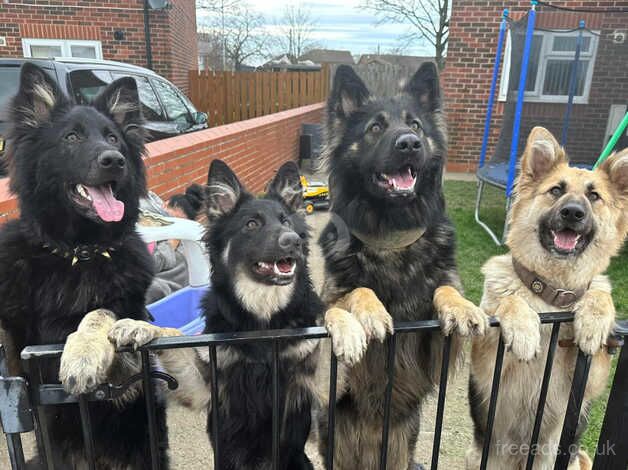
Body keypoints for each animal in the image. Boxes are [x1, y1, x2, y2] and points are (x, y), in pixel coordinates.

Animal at [0, 63, 168, 470]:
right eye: (72, 137)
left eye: (113, 138)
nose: (114, 159)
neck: (79, 252)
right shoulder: (17, 370)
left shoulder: (127, 381)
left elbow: (99, 313)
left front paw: (83, 353)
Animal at [109, 161, 372, 470]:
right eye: (252, 224)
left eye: (286, 222)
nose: (293, 241)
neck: (263, 321)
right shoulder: (203, 385)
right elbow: (169, 333)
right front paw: (140, 326)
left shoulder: (316, 386)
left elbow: (333, 313)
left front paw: (348, 329)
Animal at [316, 63, 488, 470]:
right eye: (375, 127)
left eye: (416, 125)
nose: (409, 142)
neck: (391, 237)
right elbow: (351, 295)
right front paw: (367, 314)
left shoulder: (435, 349)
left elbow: (445, 287)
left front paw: (460, 306)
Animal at [466, 126, 628, 468]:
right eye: (556, 190)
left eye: (594, 196)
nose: (572, 212)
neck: (553, 297)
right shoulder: (486, 366)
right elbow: (510, 300)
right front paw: (524, 329)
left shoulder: (589, 381)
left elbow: (598, 297)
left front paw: (594, 321)